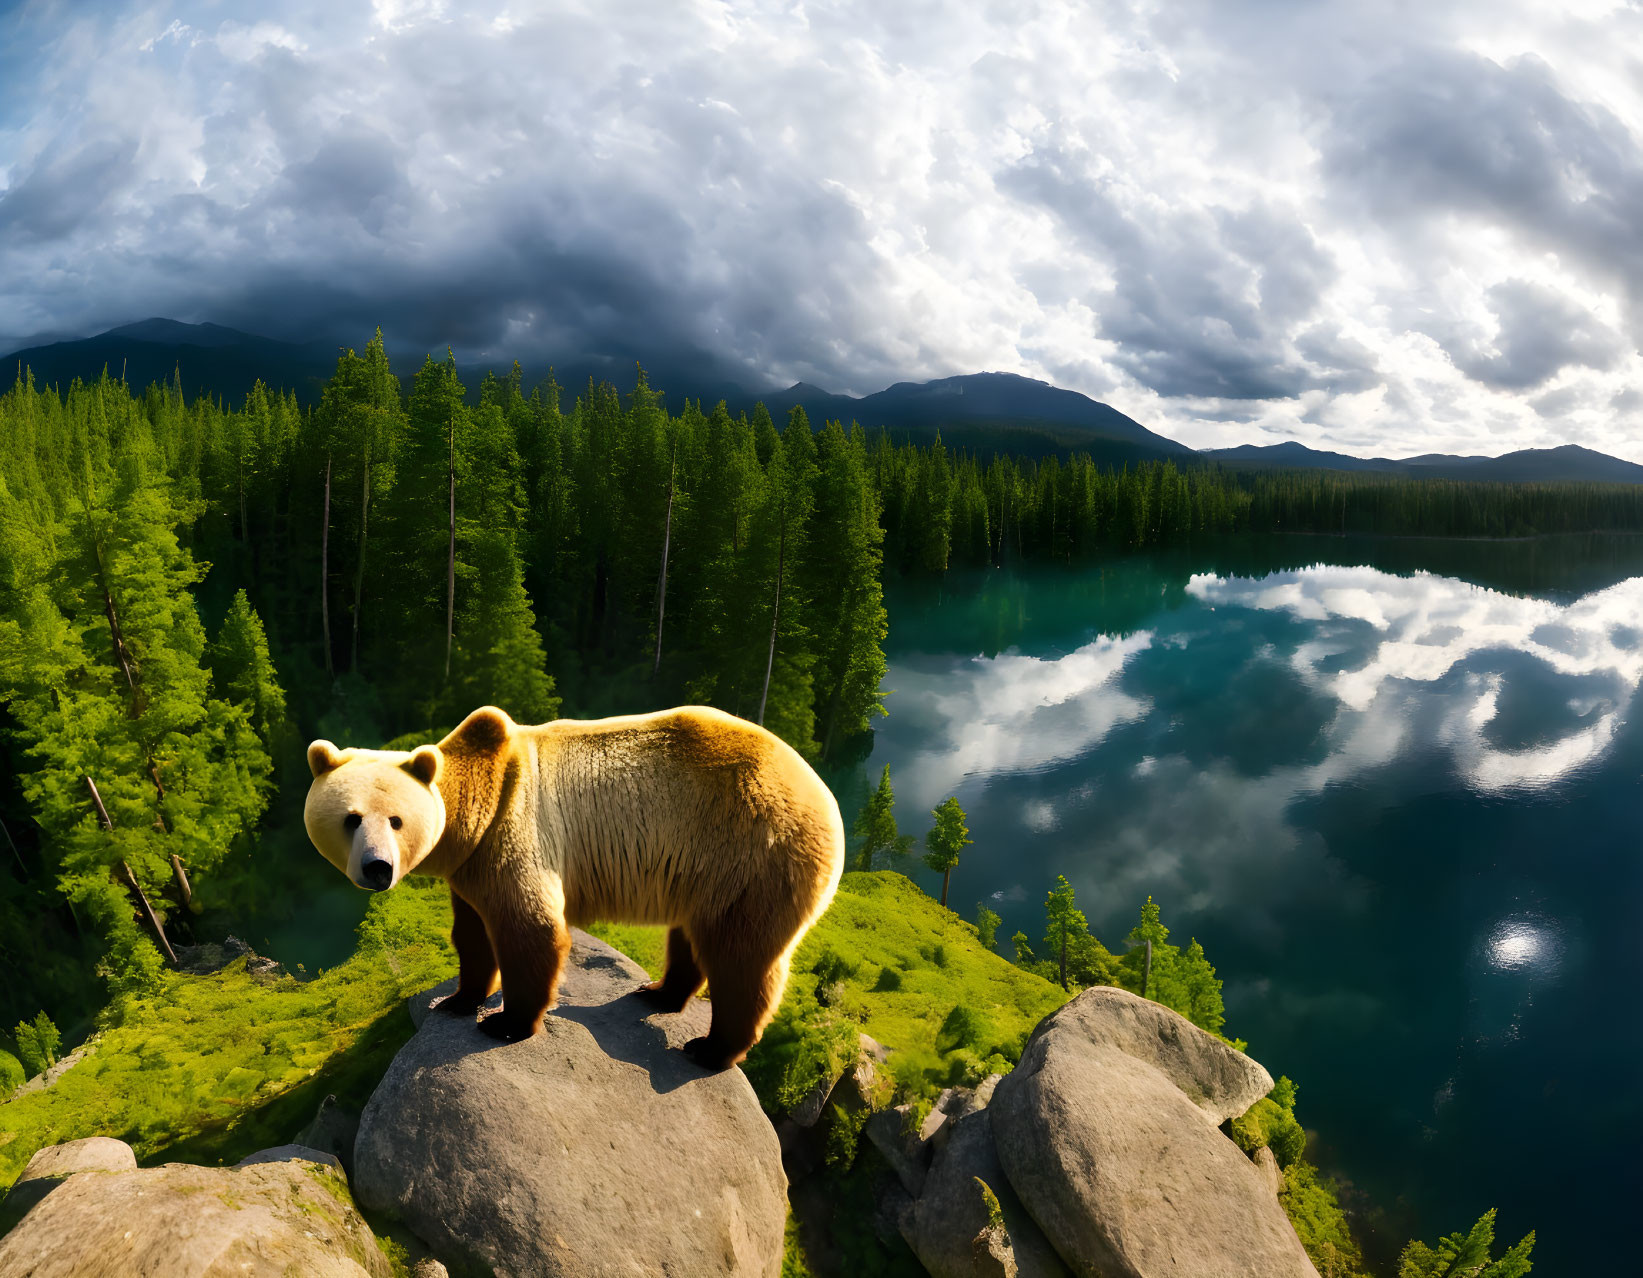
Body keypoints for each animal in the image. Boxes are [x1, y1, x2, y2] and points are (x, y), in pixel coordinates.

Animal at [302, 703, 847, 1071]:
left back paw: (711, 1048)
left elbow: (529, 928)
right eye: (351, 819)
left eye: (395, 820)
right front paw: (457, 999)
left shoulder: (515, 828)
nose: (378, 868)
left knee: (740, 956)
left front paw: (505, 1023)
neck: (474, 813)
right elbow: (473, 933)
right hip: (705, 867)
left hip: (752, 850)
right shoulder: (472, 866)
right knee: (694, 935)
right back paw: (658, 993)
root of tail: (823, 796)